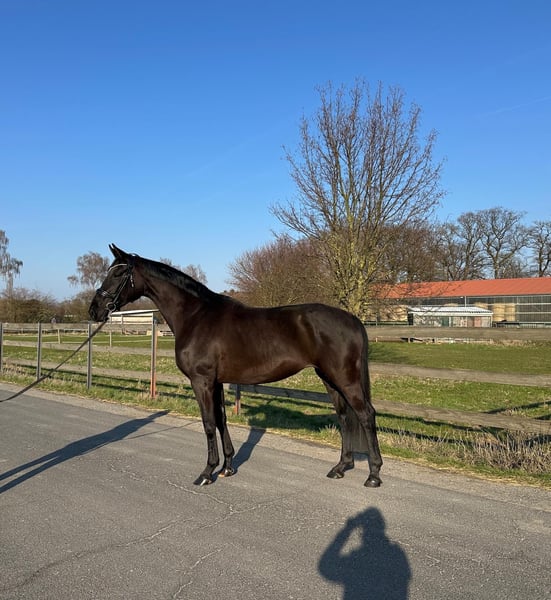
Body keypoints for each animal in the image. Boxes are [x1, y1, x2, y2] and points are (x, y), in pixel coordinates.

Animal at [89, 244, 383, 488]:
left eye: (118, 273)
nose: (94, 310)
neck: (196, 316)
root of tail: (353, 319)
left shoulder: (202, 381)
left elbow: (208, 423)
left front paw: (207, 472)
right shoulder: (216, 382)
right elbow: (221, 420)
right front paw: (227, 467)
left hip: (345, 378)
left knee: (366, 415)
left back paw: (373, 475)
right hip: (329, 378)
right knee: (344, 417)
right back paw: (340, 467)